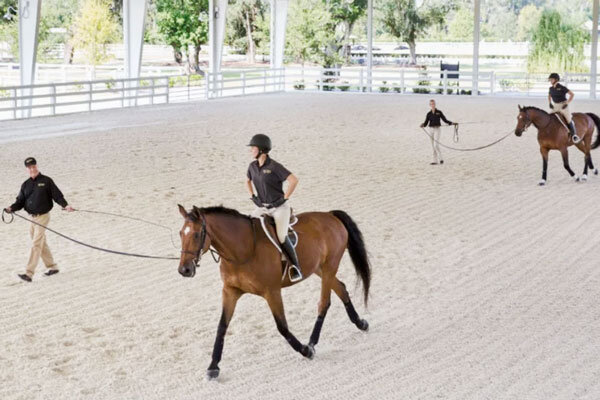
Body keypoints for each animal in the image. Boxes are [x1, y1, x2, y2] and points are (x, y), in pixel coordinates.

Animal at [176, 205, 370, 380]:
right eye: (180, 234)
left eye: (196, 235)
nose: (184, 270)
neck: (242, 251)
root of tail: (330, 215)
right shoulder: (230, 291)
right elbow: (222, 326)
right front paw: (213, 367)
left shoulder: (272, 292)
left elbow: (282, 326)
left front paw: (305, 351)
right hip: (319, 268)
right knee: (341, 288)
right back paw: (360, 323)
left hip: (330, 266)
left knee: (324, 302)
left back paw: (312, 343)